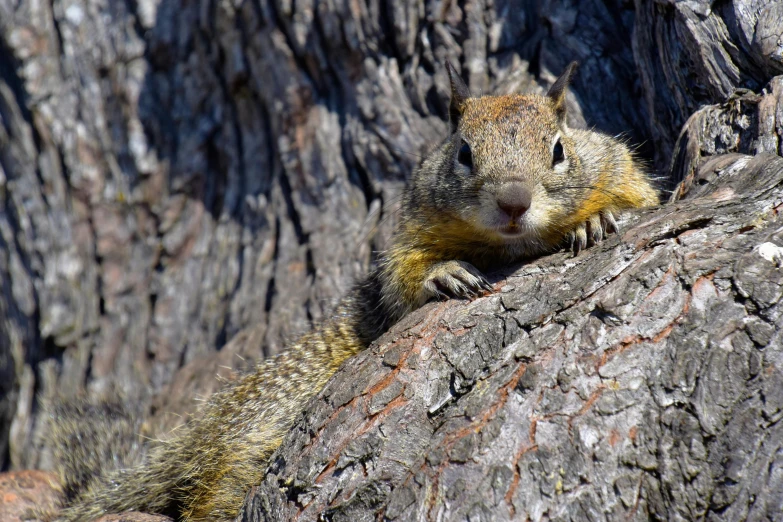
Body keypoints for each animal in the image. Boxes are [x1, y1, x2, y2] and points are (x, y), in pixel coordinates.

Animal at [52, 62, 660, 520]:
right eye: (463, 153)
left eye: (558, 150)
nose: (514, 202)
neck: (506, 247)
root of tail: (208, 427)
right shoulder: (410, 233)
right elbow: (400, 279)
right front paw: (442, 275)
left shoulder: (617, 168)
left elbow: (639, 197)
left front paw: (594, 220)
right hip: (264, 423)